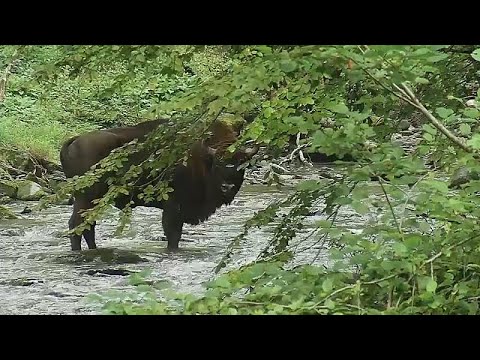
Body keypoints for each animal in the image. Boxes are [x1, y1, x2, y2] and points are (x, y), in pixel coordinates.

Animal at [60, 117, 258, 250]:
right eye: (218, 163)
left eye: (242, 163)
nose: (228, 187)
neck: (202, 159)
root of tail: (74, 140)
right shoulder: (174, 206)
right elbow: (173, 235)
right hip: (86, 198)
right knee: (76, 224)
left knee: (88, 226)